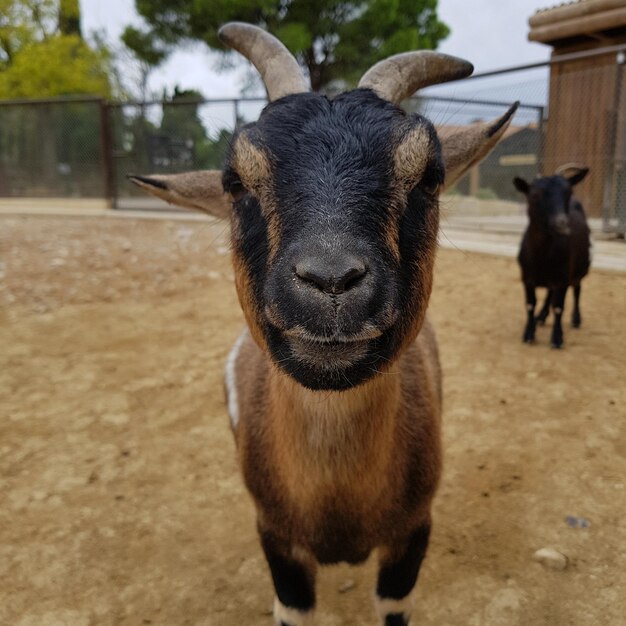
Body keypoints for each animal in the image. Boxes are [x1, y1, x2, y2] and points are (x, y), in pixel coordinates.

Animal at [129, 22, 516, 624]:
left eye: (430, 177)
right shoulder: (278, 544)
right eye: (235, 181)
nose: (331, 281)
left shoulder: (412, 536)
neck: (338, 503)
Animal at [512, 167, 588, 346]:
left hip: (578, 270)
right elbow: (530, 304)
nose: (561, 223)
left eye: (569, 191)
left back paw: (576, 319)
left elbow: (558, 307)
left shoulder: (563, 278)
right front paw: (529, 334)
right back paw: (541, 317)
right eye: (534, 195)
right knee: (550, 293)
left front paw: (557, 338)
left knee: (577, 289)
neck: (541, 258)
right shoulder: (527, 278)